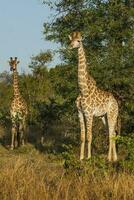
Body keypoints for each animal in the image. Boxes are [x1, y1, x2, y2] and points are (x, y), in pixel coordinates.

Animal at [68, 32, 119, 162]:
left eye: (79, 41)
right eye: (71, 40)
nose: (70, 46)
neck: (83, 90)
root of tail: (116, 102)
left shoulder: (89, 113)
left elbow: (89, 136)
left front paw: (89, 157)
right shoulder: (80, 113)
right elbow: (82, 136)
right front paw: (81, 158)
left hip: (112, 115)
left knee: (111, 134)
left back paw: (109, 158)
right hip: (103, 117)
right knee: (112, 133)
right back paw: (114, 158)